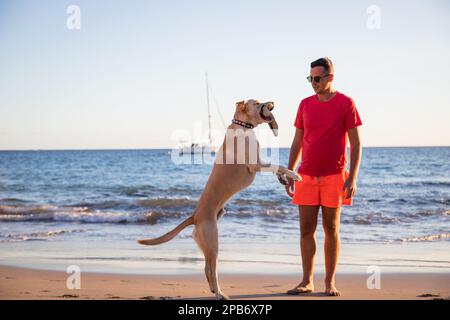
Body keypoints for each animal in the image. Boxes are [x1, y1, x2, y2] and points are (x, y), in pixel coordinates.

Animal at [137, 100, 298, 300]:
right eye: (257, 103)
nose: (272, 103)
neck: (243, 127)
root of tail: (195, 216)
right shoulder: (256, 165)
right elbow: (279, 165)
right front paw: (294, 174)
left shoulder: (260, 162)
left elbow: (277, 169)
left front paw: (285, 178)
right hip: (213, 243)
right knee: (212, 271)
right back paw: (219, 293)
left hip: (207, 244)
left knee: (206, 269)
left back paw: (215, 290)